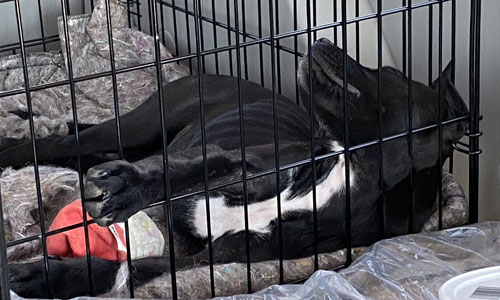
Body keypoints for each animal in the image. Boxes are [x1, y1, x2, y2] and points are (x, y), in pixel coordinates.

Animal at [2, 38, 468, 298]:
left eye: (388, 71)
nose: (322, 40)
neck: (346, 174)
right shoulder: (256, 160)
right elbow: (195, 166)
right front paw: (132, 187)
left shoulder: (215, 259)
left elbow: (130, 270)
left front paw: (48, 278)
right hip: (136, 126)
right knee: (59, 142)